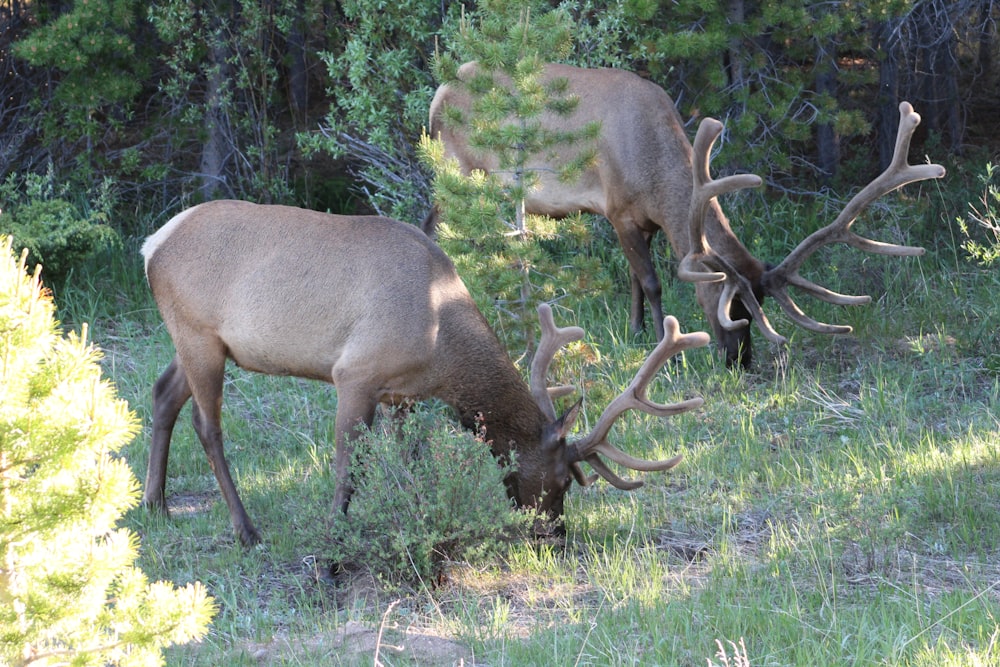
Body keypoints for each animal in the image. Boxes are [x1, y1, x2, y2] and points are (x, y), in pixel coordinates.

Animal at [143, 204, 712, 548]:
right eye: (561, 481)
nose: (553, 537)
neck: (440, 342)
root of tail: (152, 244)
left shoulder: (403, 395)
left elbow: (411, 463)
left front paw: (419, 519)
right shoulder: (354, 374)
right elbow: (348, 467)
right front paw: (335, 538)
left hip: (199, 341)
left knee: (162, 394)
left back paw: (155, 504)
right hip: (198, 335)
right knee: (207, 426)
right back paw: (246, 530)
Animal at [428, 60, 944, 368]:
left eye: (756, 305)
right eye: (727, 305)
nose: (740, 362)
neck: (655, 171)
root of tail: (439, 92)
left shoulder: (647, 221)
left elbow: (635, 281)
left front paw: (636, 331)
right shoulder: (617, 210)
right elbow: (653, 282)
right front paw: (664, 347)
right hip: (461, 171)